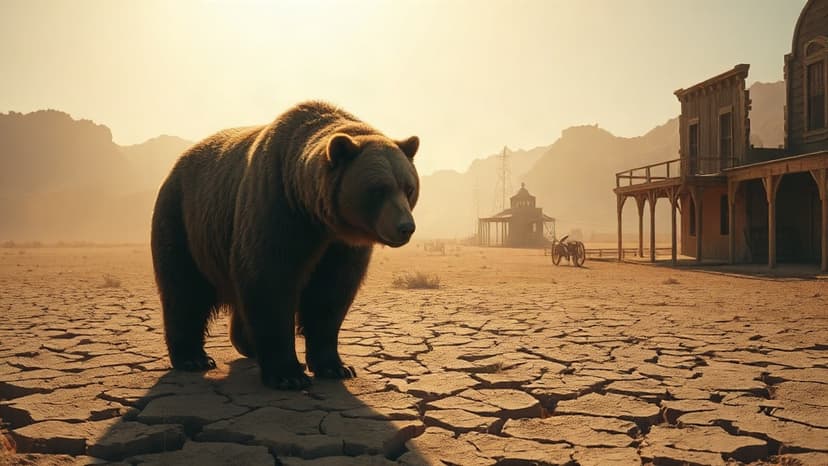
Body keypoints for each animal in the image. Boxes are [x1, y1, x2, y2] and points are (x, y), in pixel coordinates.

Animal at [150, 101, 419, 389]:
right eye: (378, 189)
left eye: (409, 188)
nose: (405, 227)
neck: (315, 215)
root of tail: (177, 164)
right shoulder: (277, 207)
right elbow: (270, 281)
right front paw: (288, 375)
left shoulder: (341, 245)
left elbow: (331, 294)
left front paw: (336, 366)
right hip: (183, 219)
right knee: (184, 289)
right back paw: (193, 358)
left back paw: (246, 345)